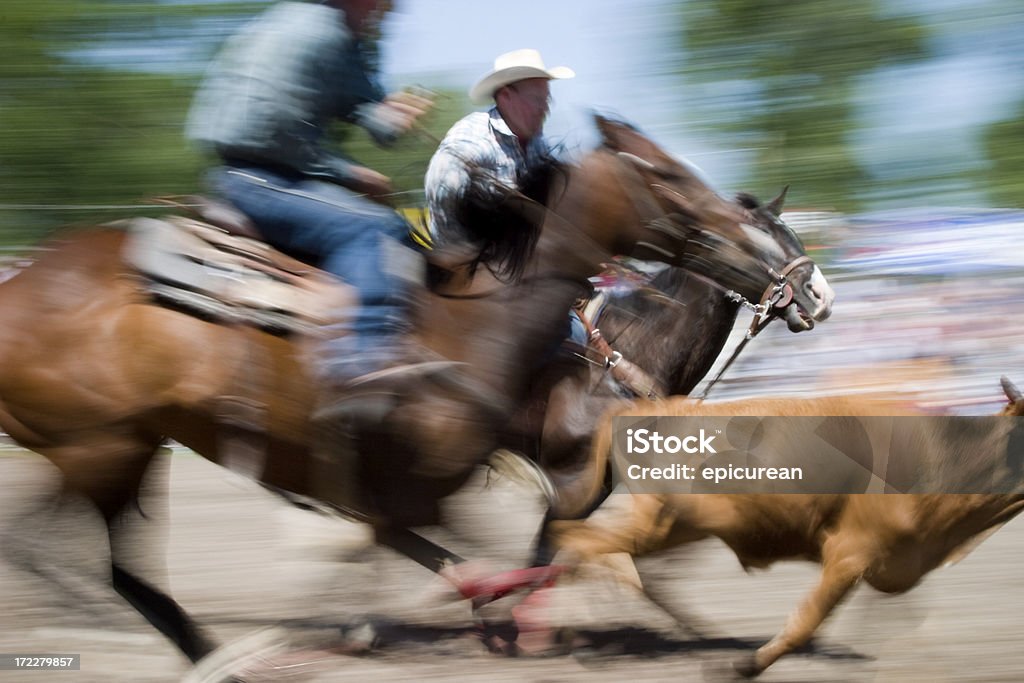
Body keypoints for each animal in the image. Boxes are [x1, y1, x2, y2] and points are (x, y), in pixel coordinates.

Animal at [0, 116, 819, 667]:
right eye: (672, 176)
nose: (817, 293)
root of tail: (22, 283)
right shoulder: (538, 473)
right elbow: (538, 548)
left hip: (119, 445)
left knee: (72, 545)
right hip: (106, 445)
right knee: (75, 552)